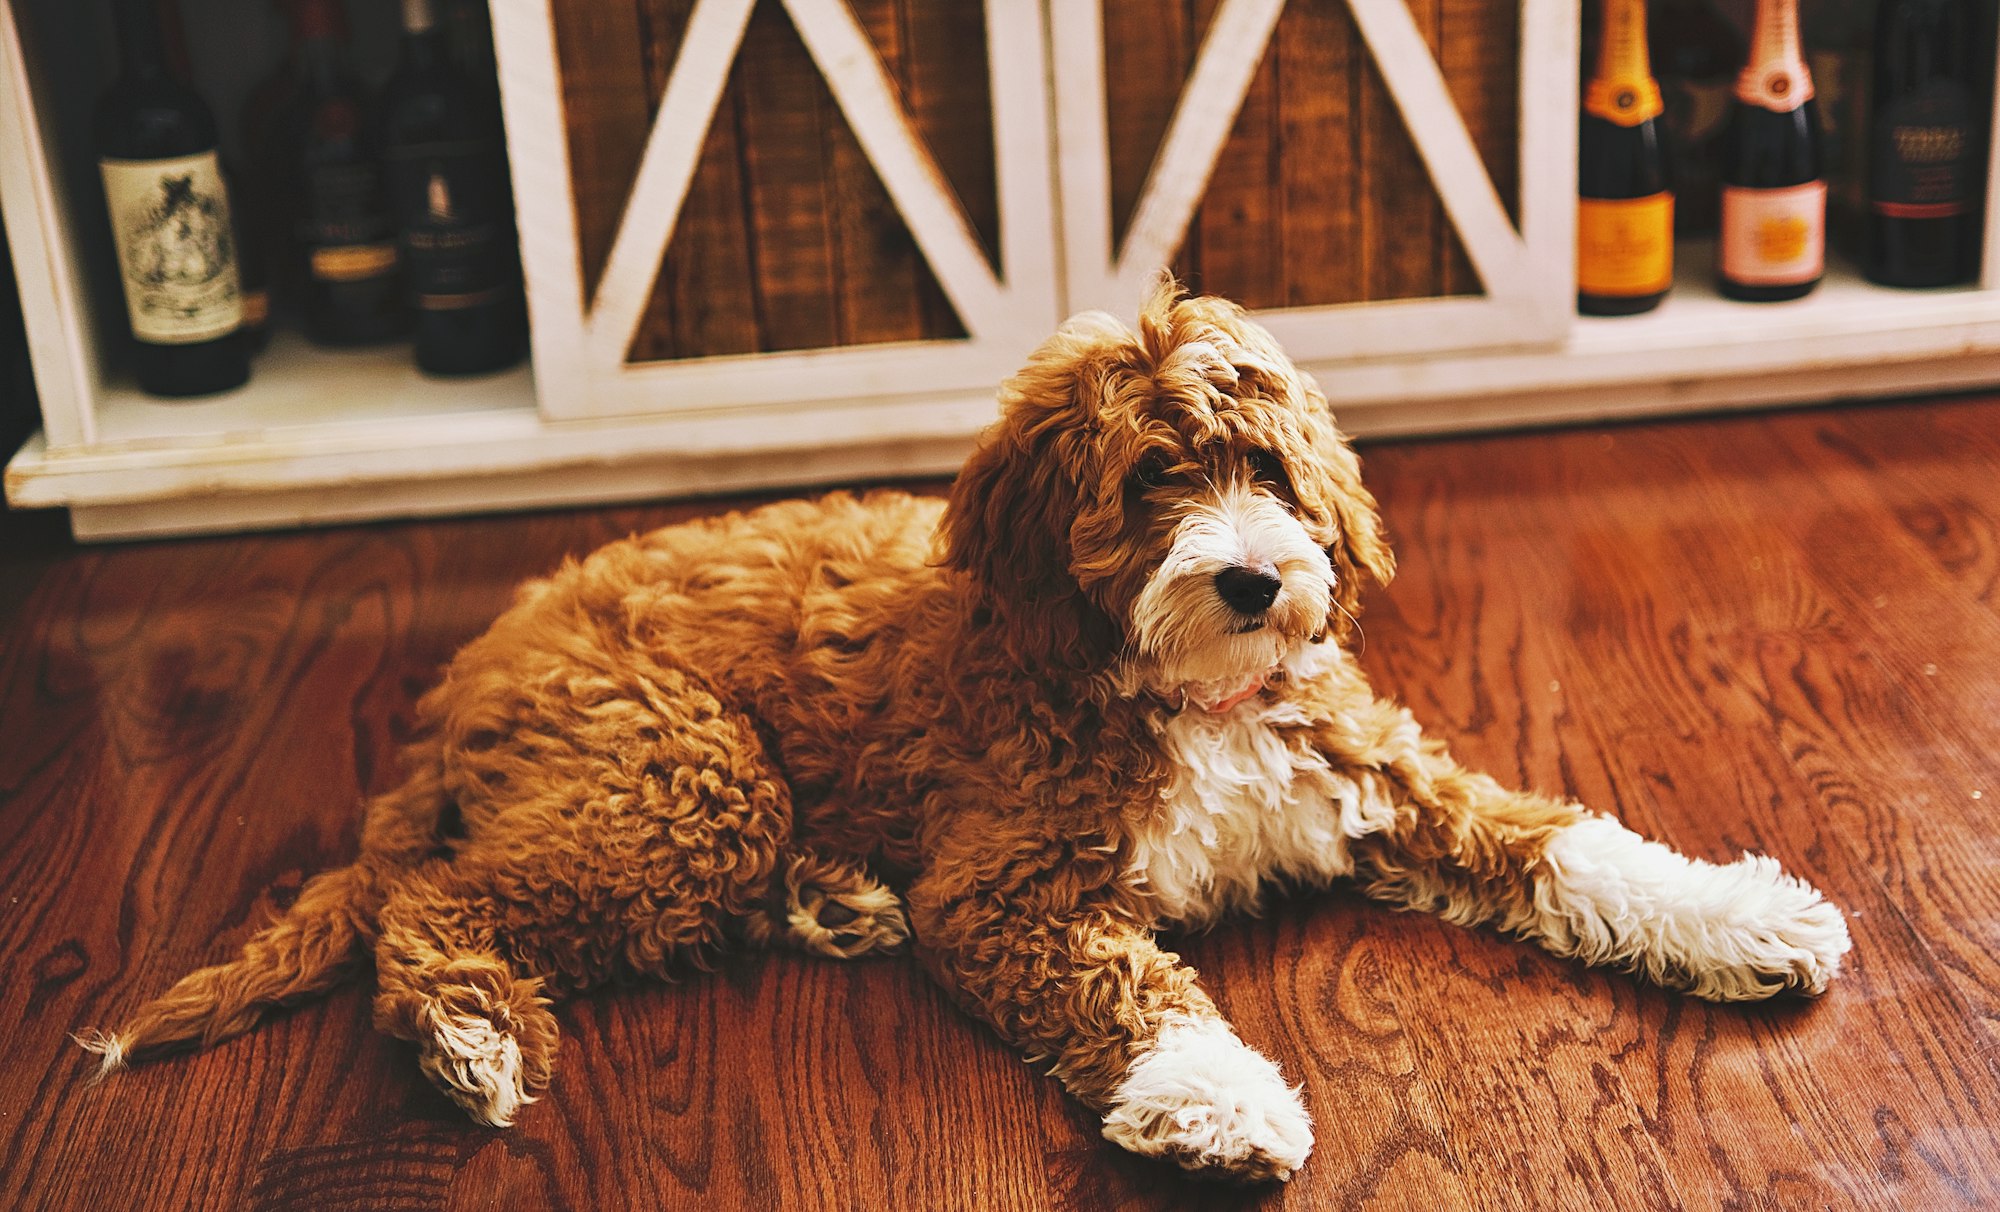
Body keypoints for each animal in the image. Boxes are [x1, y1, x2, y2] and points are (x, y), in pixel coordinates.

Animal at [86, 288, 1848, 1184]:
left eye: (1268, 469)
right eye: (1152, 481)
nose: (1259, 577)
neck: (1184, 688)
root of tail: (469, 670)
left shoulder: (1388, 770)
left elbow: (1568, 843)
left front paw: (1745, 917)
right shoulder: (1013, 887)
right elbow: (1131, 984)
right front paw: (1219, 1100)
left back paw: (837, 896)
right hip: (680, 775)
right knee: (432, 903)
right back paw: (472, 1041)